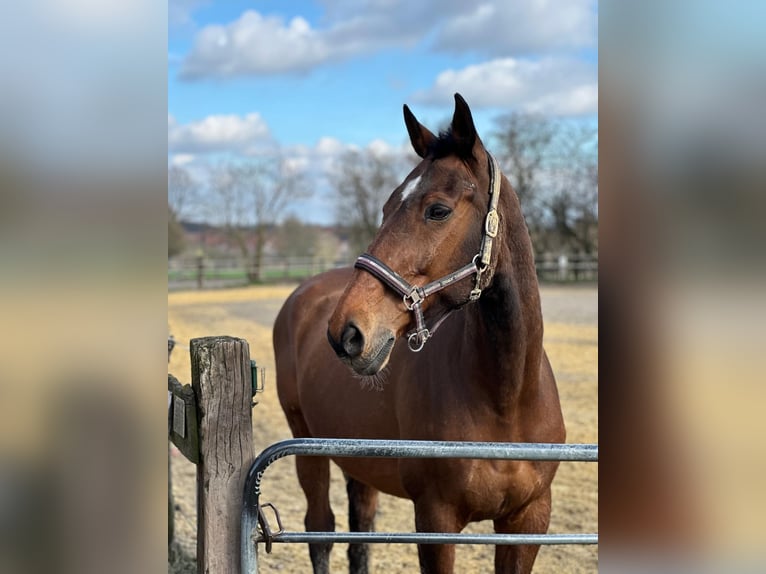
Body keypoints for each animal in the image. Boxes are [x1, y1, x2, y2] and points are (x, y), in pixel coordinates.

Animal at [274, 95, 564, 574]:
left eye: (438, 209)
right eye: (386, 208)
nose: (346, 333)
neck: (506, 400)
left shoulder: (527, 521)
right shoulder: (435, 521)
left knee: (360, 529)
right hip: (305, 445)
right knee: (321, 530)